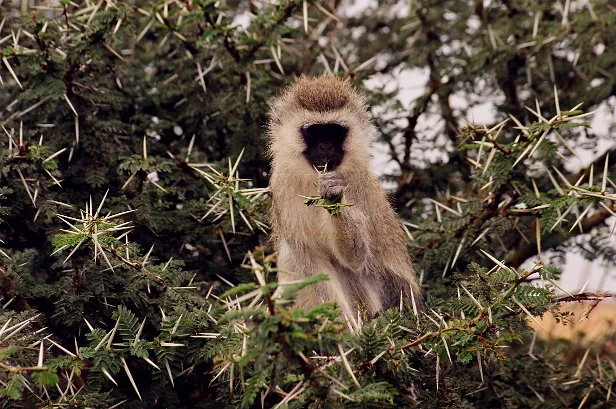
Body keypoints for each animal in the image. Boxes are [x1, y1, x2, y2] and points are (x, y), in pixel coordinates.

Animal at [268, 75, 422, 320]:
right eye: (314, 131)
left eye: (335, 131)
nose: (326, 146)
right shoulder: (282, 187)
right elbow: (313, 265)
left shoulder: (354, 184)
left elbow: (355, 259)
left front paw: (334, 196)